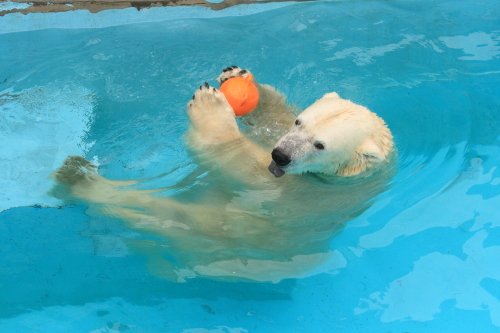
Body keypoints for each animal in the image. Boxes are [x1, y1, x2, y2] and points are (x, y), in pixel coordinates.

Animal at [52, 66, 392, 282]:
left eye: (320, 145)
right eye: (300, 122)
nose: (280, 155)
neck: (347, 177)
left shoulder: (309, 195)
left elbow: (242, 167)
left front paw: (208, 105)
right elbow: (272, 120)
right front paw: (240, 77)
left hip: (213, 234)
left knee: (163, 215)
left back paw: (76, 180)